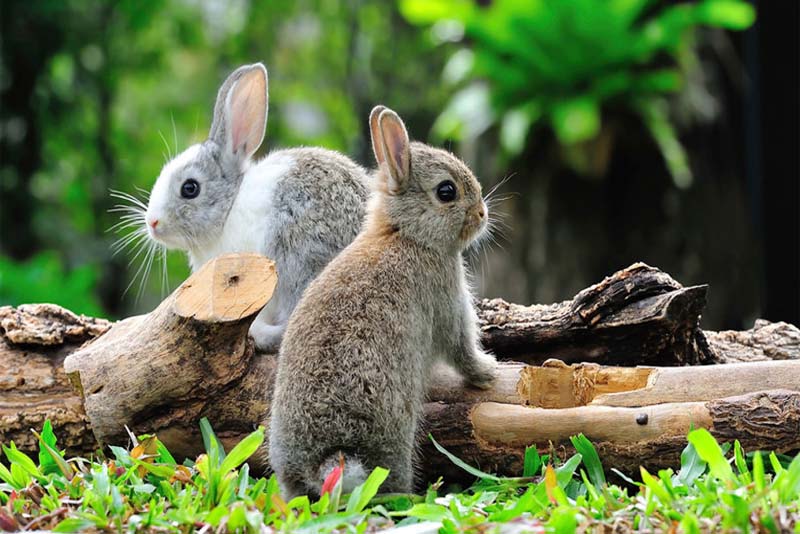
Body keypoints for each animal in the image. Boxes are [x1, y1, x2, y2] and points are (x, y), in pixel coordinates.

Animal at [268, 107, 494, 500]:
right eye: (446, 191)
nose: (482, 213)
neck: (406, 234)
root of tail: (325, 460)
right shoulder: (447, 301)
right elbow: (461, 350)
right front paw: (488, 372)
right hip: (394, 435)